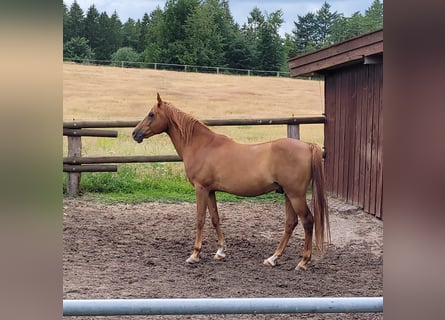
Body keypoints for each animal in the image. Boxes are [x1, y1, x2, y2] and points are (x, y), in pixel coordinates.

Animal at [133, 93, 330, 270]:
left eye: (151, 114)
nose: (135, 134)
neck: (201, 145)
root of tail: (307, 146)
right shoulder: (210, 190)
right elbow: (215, 218)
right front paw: (220, 251)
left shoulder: (200, 188)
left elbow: (200, 219)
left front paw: (195, 254)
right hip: (287, 194)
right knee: (291, 223)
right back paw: (273, 258)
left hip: (296, 195)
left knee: (308, 221)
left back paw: (303, 262)